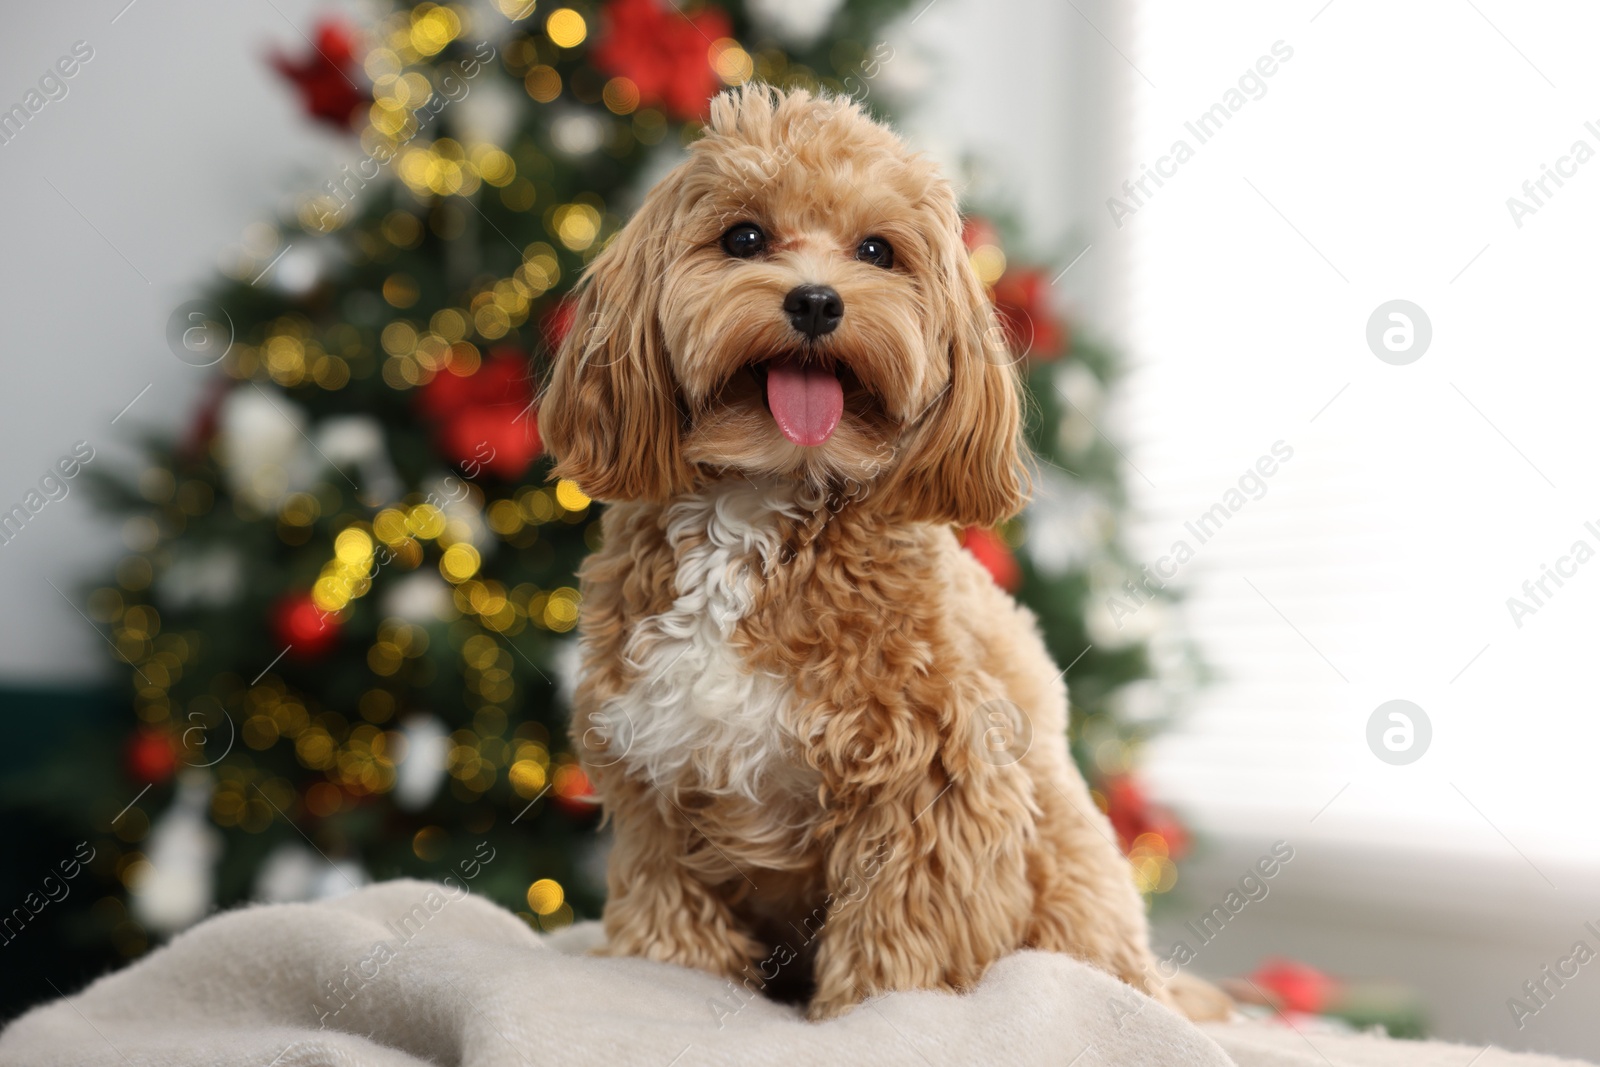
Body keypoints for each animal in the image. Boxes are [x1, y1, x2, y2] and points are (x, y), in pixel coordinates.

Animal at [537, 87, 1222, 1023]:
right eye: (744, 237)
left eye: (876, 251)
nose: (817, 302)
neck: (764, 500)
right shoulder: (655, 793)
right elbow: (669, 935)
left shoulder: (934, 789)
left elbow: (895, 946)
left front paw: (868, 1017)